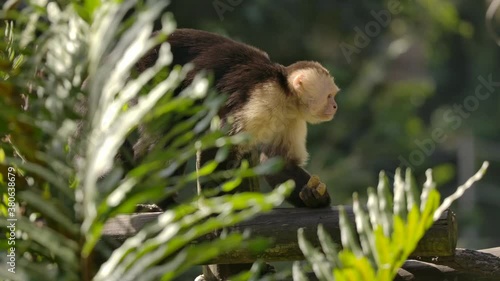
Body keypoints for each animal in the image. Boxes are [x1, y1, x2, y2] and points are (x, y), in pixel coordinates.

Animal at [134, 29, 340, 208]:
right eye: (329, 96)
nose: (335, 106)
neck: (286, 94)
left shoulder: (292, 118)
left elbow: (278, 162)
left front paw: (314, 197)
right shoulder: (263, 99)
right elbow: (219, 145)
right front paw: (215, 203)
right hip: (152, 73)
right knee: (177, 132)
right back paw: (164, 199)